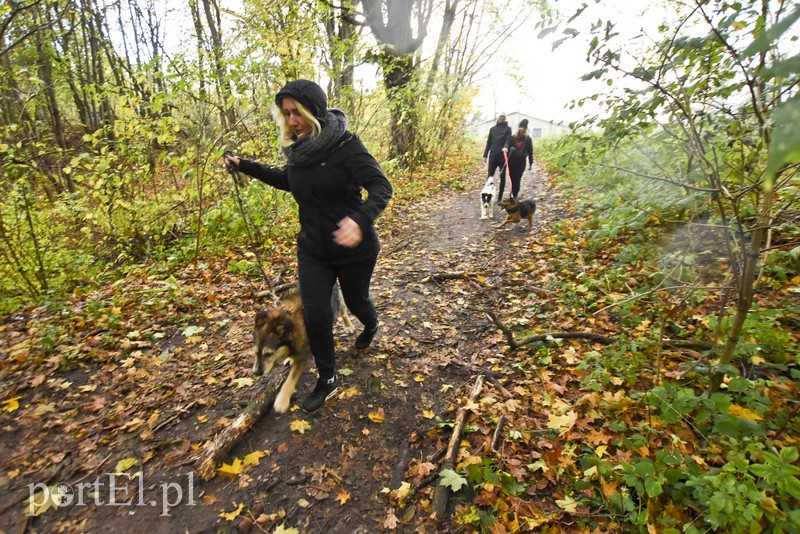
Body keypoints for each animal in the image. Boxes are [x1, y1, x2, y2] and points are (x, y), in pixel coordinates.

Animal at [252, 284, 348, 414]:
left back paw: (349, 326)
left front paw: (282, 401)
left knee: (344, 312)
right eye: (255, 352)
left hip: (338, 305)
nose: (256, 373)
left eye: (268, 354)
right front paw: (289, 359)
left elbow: (289, 381)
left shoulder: (302, 358)